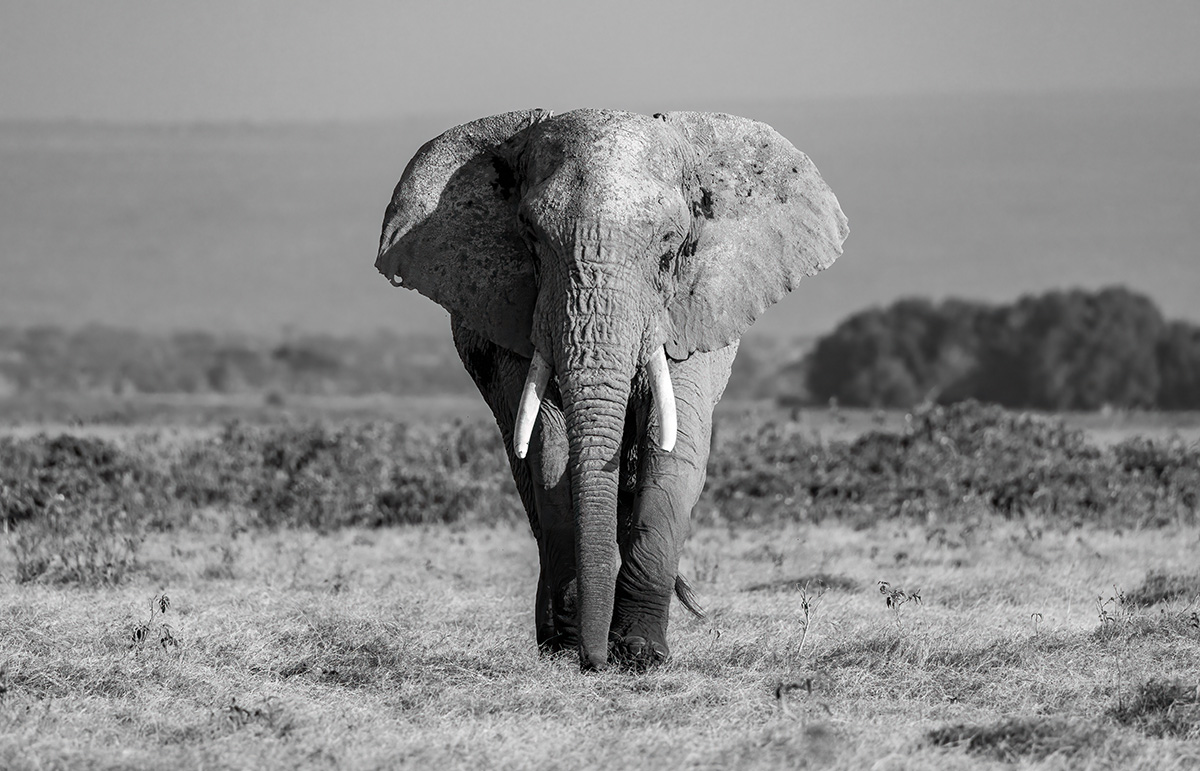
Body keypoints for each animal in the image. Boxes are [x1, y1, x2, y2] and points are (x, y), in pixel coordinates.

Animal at [375, 109, 847, 671]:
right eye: (531, 239)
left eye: (669, 248)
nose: (594, 661)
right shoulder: (516, 315)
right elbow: (548, 445)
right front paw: (571, 647)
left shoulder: (688, 314)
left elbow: (676, 447)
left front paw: (641, 654)